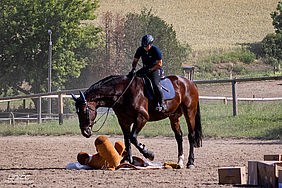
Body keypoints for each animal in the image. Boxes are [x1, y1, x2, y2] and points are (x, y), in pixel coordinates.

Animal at [71, 74, 202, 168]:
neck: (123, 93)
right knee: (179, 136)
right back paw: (179, 161)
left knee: (191, 135)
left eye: (84, 110)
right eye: (77, 112)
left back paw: (190, 162)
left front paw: (149, 153)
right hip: (174, 116)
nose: (85, 132)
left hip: (189, 112)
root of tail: (189, 82)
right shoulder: (124, 121)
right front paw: (129, 161)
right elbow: (127, 140)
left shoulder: (141, 118)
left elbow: (133, 137)